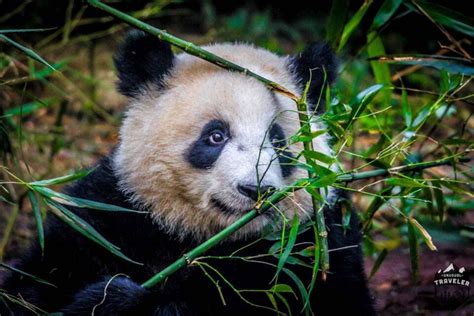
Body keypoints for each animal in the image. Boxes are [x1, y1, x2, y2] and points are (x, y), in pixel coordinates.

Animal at [0, 30, 374, 314]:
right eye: (216, 135)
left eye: (278, 140)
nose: (255, 190)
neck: (203, 238)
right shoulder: (111, 213)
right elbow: (33, 282)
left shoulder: (316, 248)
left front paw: (114, 299)